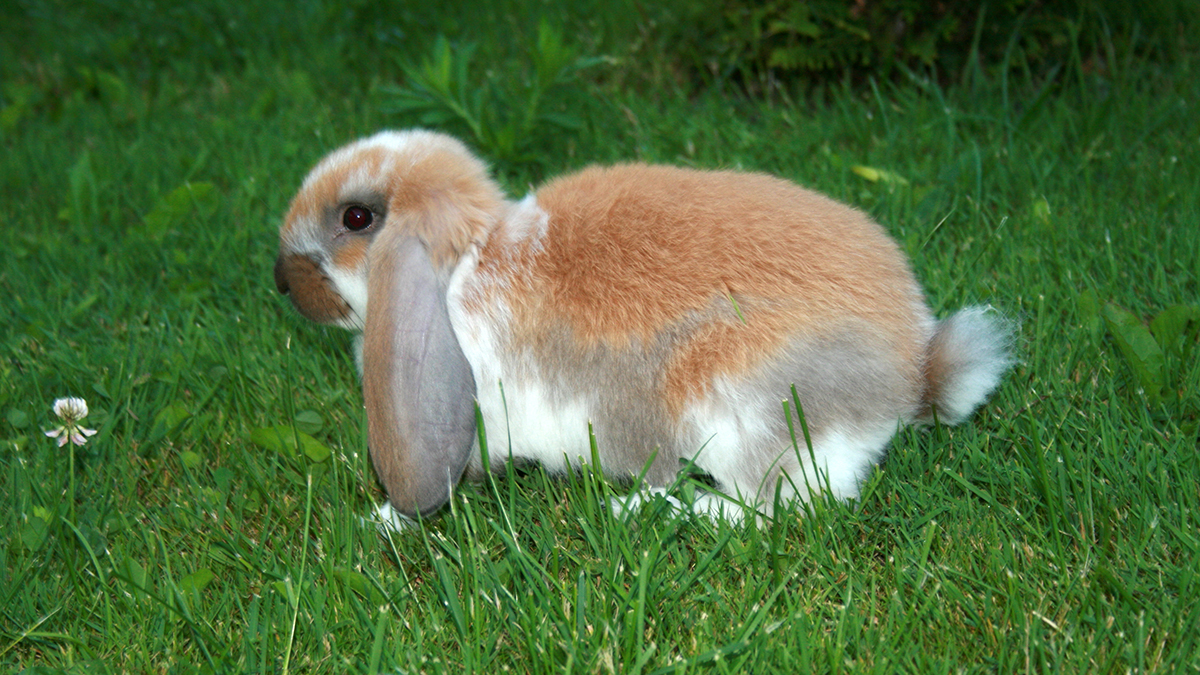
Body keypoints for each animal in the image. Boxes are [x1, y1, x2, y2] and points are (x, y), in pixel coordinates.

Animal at [273, 129, 1013, 523]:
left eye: (357, 218)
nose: (281, 280)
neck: (466, 263)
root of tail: (911, 377)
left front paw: (383, 520)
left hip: (745, 412)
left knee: (768, 508)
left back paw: (650, 508)